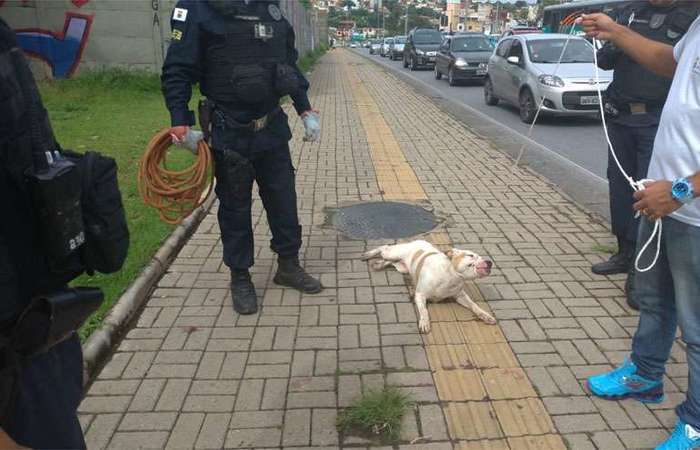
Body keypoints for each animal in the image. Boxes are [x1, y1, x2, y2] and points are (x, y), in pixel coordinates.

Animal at [360, 239, 498, 334]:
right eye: (470, 255)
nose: (489, 262)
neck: (451, 277)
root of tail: (417, 240)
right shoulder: (420, 295)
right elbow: (424, 310)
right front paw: (424, 323)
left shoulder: (460, 296)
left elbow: (474, 305)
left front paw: (485, 315)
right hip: (393, 253)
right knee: (385, 248)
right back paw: (368, 254)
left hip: (402, 267)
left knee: (390, 261)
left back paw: (379, 264)